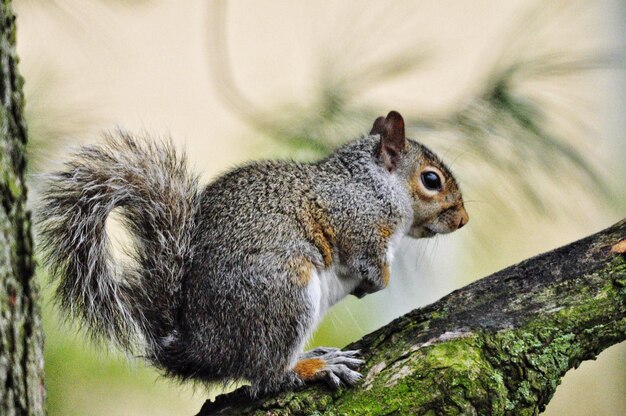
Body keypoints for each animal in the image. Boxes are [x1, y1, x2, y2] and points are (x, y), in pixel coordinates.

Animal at [37, 109, 468, 394]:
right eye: (431, 180)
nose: (463, 220)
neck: (373, 183)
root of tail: (202, 347)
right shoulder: (356, 222)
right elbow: (368, 259)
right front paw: (379, 282)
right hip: (285, 293)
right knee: (267, 374)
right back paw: (314, 366)